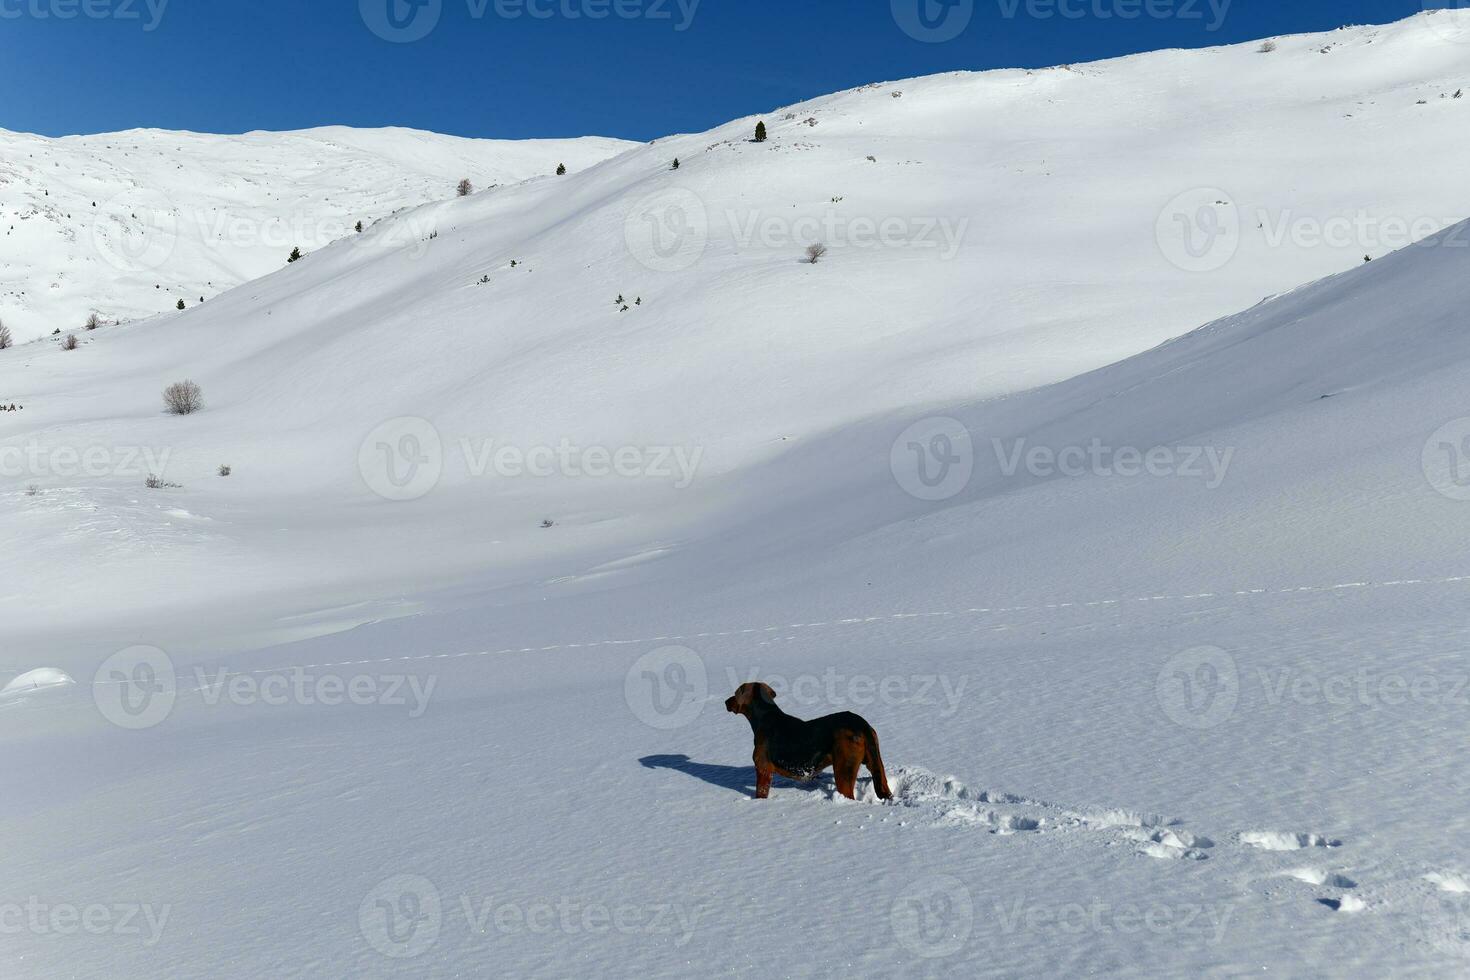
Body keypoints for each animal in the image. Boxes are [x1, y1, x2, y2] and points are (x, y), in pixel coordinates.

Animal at [726, 687, 893, 799]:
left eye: (735, 693)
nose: (726, 701)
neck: (764, 716)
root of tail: (861, 724)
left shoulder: (763, 770)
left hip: (843, 772)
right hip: (876, 764)